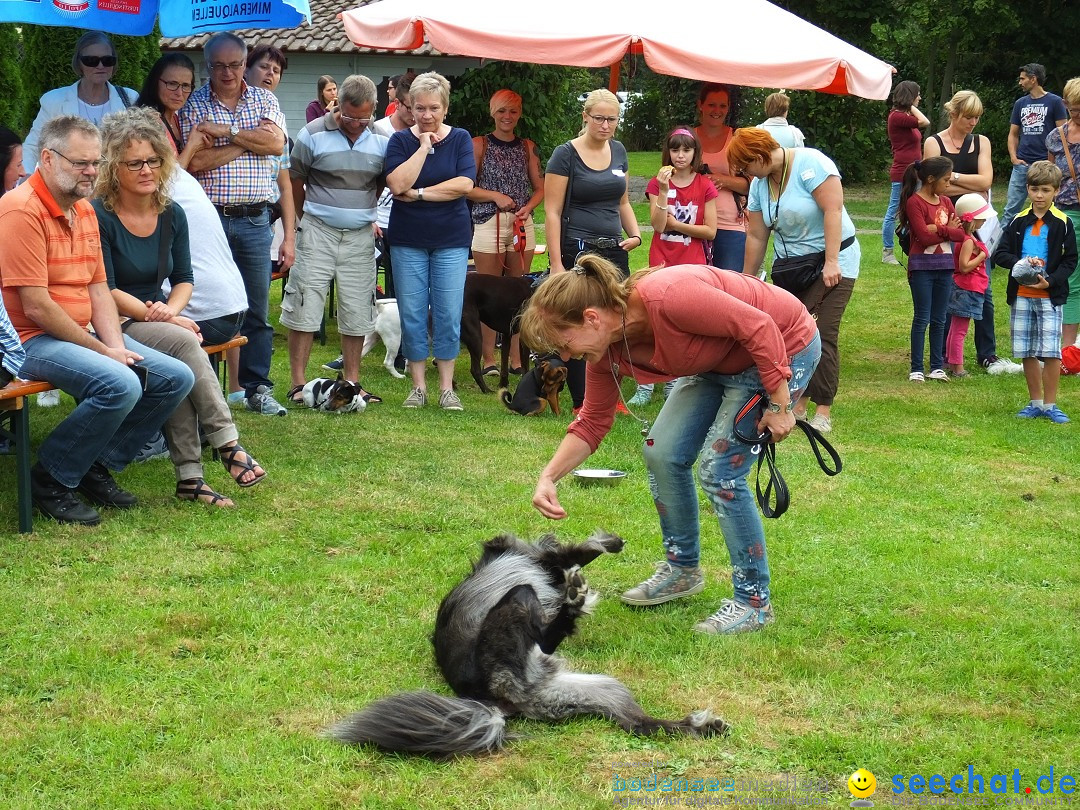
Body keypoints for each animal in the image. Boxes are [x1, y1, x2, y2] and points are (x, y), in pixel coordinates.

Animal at [324, 535, 730, 760]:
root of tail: (492, 698)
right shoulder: (547, 559)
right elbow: (582, 551)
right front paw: (606, 544)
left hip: (600, 689)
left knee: (641, 726)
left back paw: (704, 727)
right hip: (520, 598)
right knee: (549, 633)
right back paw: (573, 601)